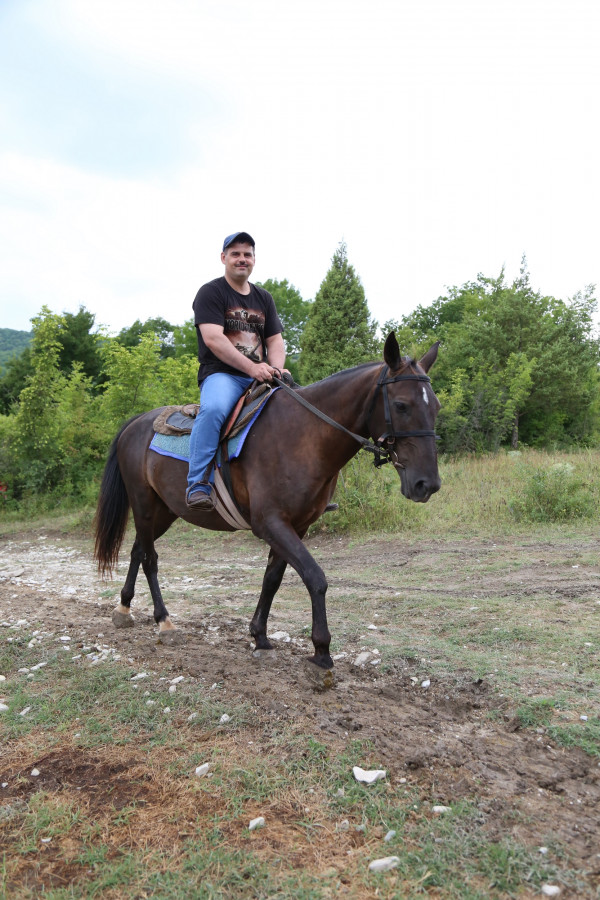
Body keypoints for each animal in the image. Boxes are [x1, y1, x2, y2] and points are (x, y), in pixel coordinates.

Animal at [94, 332, 440, 668]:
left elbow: (273, 578)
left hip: (164, 511)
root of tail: (136, 422)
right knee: (149, 558)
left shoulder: (296, 525)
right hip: (144, 505)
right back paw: (164, 621)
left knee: (138, 550)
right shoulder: (270, 523)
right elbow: (315, 577)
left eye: (435, 406)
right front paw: (321, 651)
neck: (304, 436)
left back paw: (123, 608)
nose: (427, 484)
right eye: (401, 405)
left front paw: (260, 636)